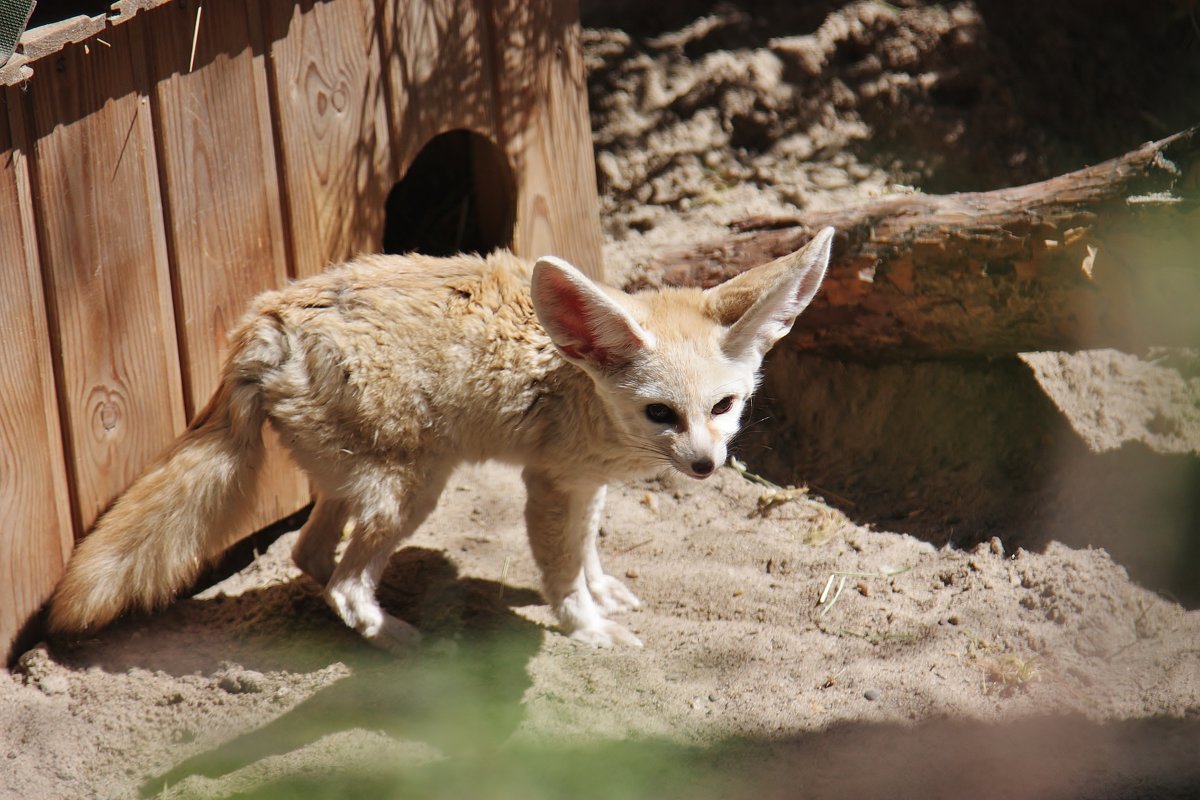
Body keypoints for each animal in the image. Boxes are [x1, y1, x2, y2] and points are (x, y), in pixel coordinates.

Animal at [49, 226, 835, 652]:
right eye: (660, 414)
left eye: (724, 406)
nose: (706, 465)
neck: (577, 378)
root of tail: (266, 320)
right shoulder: (552, 484)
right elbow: (560, 572)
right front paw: (585, 627)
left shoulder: (586, 486)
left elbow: (587, 552)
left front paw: (603, 593)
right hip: (413, 489)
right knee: (345, 587)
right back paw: (402, 644)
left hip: (357, 482)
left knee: (308, 556)